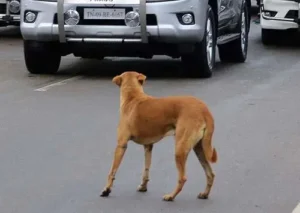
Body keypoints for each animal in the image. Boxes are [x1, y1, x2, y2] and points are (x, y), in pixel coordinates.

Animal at [101, 71, 218, 201]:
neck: (133, 97)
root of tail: (204, 110)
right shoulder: (148, 146)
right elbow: (146, 169)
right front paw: (143, 187)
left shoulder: (121, 145)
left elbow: (112, 171)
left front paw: (106, 189)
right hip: (199, 148)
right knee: (210, 174)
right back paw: (205, 194)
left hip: (180, 149)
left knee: (182, 178)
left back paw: (171, 196)